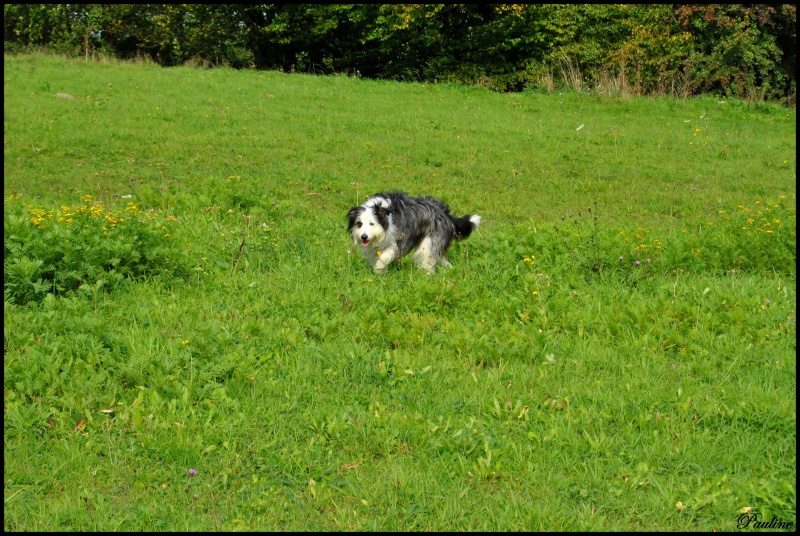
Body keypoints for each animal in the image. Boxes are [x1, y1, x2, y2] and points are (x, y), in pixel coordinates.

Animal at [346, 192, 482, 274]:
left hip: (430, 241)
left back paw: (426, 275)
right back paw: (449, 269)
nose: (364, 237)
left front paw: (378, 268)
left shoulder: (400, 239)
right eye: (359, 224)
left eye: (372, 224)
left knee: (428, 256)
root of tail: (445, 214)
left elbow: (385, 256)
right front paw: (379, 272)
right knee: (440, 257)